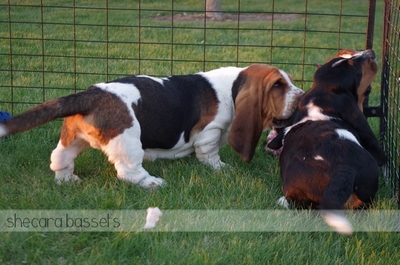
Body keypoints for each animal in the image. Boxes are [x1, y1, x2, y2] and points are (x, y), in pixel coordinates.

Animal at [0, 64, 304, 188]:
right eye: (278, 86)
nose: (302, 98)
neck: (232, 88)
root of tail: (89, 95)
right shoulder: (210, 132)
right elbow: (210, 154)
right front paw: (221, 169)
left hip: (74, 136)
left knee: (60, 158)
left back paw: (67, 181)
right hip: (128, 142)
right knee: (128, 173)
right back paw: (153, 183)